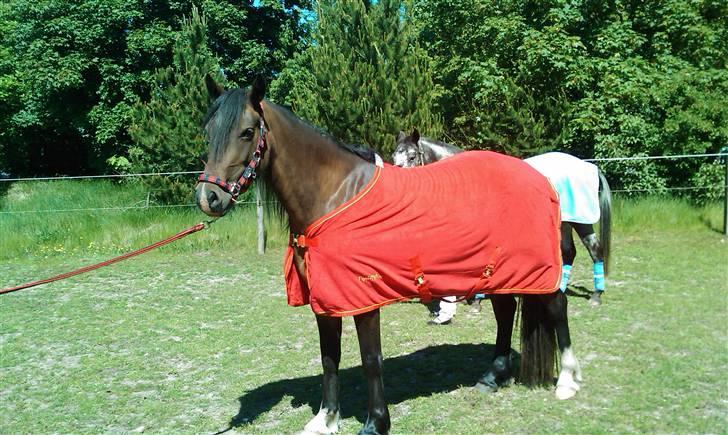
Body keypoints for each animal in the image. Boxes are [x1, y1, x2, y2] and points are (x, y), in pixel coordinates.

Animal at [193, 78, 580, 435]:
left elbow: (370, 359)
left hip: (536, 268)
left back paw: (567, 380)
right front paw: (325, 419)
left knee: (556, 307)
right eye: (208, 131)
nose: (208, 197)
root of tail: (539, 177)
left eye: (247, 132)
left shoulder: (363, 297)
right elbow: (329, 357)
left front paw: (375, 423)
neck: (335, 196)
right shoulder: (326, 297)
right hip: (495, 269)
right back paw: (493, 376)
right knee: (505, 311)